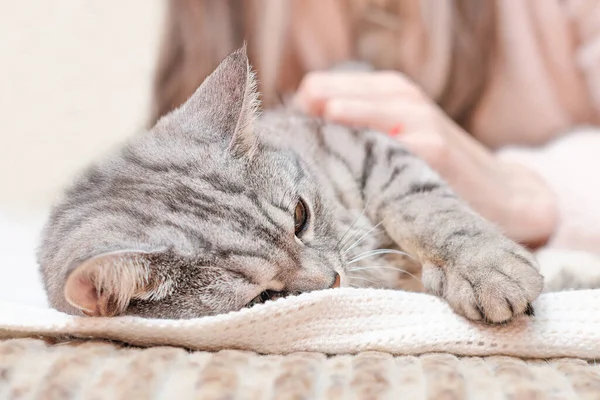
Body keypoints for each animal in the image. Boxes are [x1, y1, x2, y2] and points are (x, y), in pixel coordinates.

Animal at [37, 47, 544, 324]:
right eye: (264, 297)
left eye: (300, 216)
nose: (334, 281)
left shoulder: (367, 143)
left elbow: (426, 207)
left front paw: (484, 267)